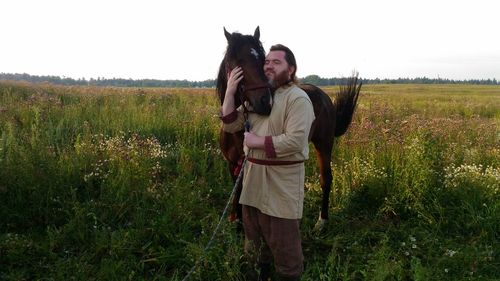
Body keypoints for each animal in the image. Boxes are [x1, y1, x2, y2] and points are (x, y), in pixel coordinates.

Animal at [217, 25, 362, 228]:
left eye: (263, 60)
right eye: (238, 61)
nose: (265, 102)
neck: (238, 132)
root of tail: (323, 96)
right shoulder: (233, 164)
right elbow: (237, 193)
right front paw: (236, 222)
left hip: (324, 144)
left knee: (326, 178)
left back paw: (321, 221)